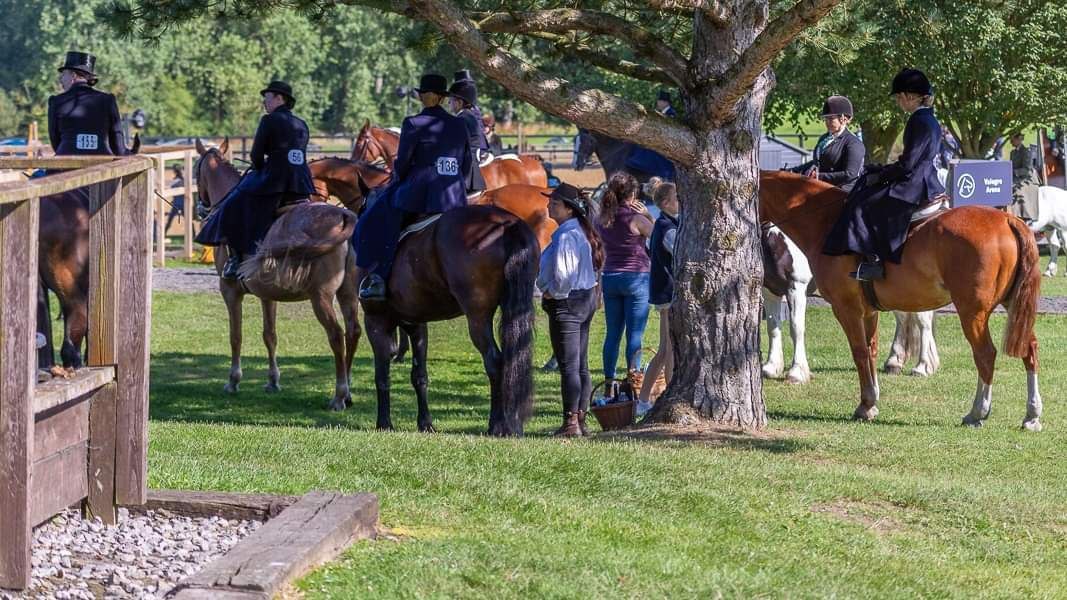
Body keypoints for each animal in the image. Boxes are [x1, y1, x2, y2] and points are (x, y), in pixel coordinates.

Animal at [197, 138, 367, 407]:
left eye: (196, 170)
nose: (201, 208)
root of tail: (344, 215)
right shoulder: (267, 295)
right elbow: (270, 335)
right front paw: (273, 381)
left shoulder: (230, 292)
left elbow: (236, 335)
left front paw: (233, 381)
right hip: (347, 294)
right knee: (353, 332)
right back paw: (348, 392)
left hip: (321, 297)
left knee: (336, 336)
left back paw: (339, 395)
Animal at [360, 203, 542, 433]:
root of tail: (506, 223)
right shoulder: (416, 324)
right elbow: (419, 375)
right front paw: (425, 424)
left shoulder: (375, 321)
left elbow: (382, 376)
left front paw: (384, 424)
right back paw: (513, 424)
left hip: (477, 317)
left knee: (495, 361)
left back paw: (497, 425)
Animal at [759, 226, 943, 380]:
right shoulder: (770, 292)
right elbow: (773, 327)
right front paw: (771, 366)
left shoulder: (796, 287)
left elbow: (796, 328)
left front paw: (796, 371)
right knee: (904, 318)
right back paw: (895, 362)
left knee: (923, 321)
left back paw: (923, 366)